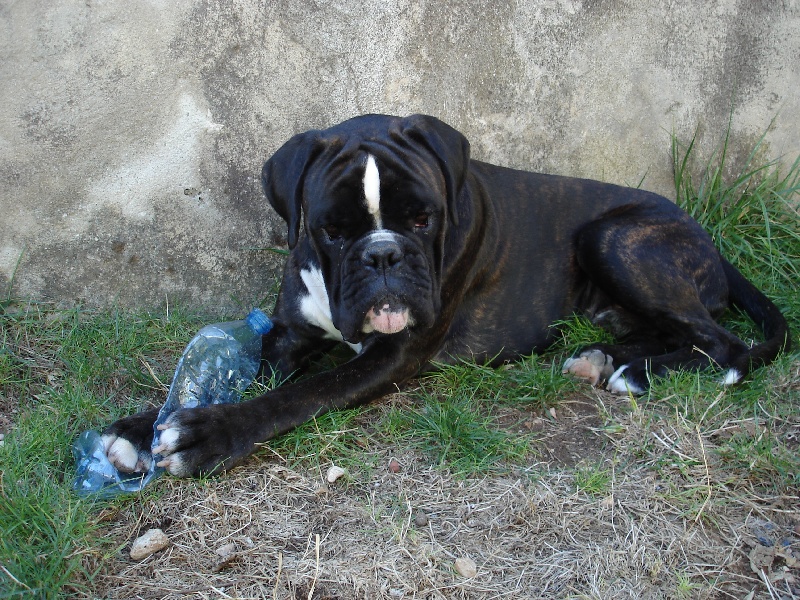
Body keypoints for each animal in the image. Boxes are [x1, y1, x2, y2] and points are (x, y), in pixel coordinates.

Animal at [102, 114, 790, 478]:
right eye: (332, 230)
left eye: (423, 218)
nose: (383, 255)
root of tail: (708, 239)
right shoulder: (288, 337)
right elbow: (246, 374)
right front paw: (142, 425)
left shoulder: (391, 354)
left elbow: (294, 397)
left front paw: (207, 436)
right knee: (670, 333)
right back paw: (606, 360)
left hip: (613, 237)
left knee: (725, 344)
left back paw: (636, 374)